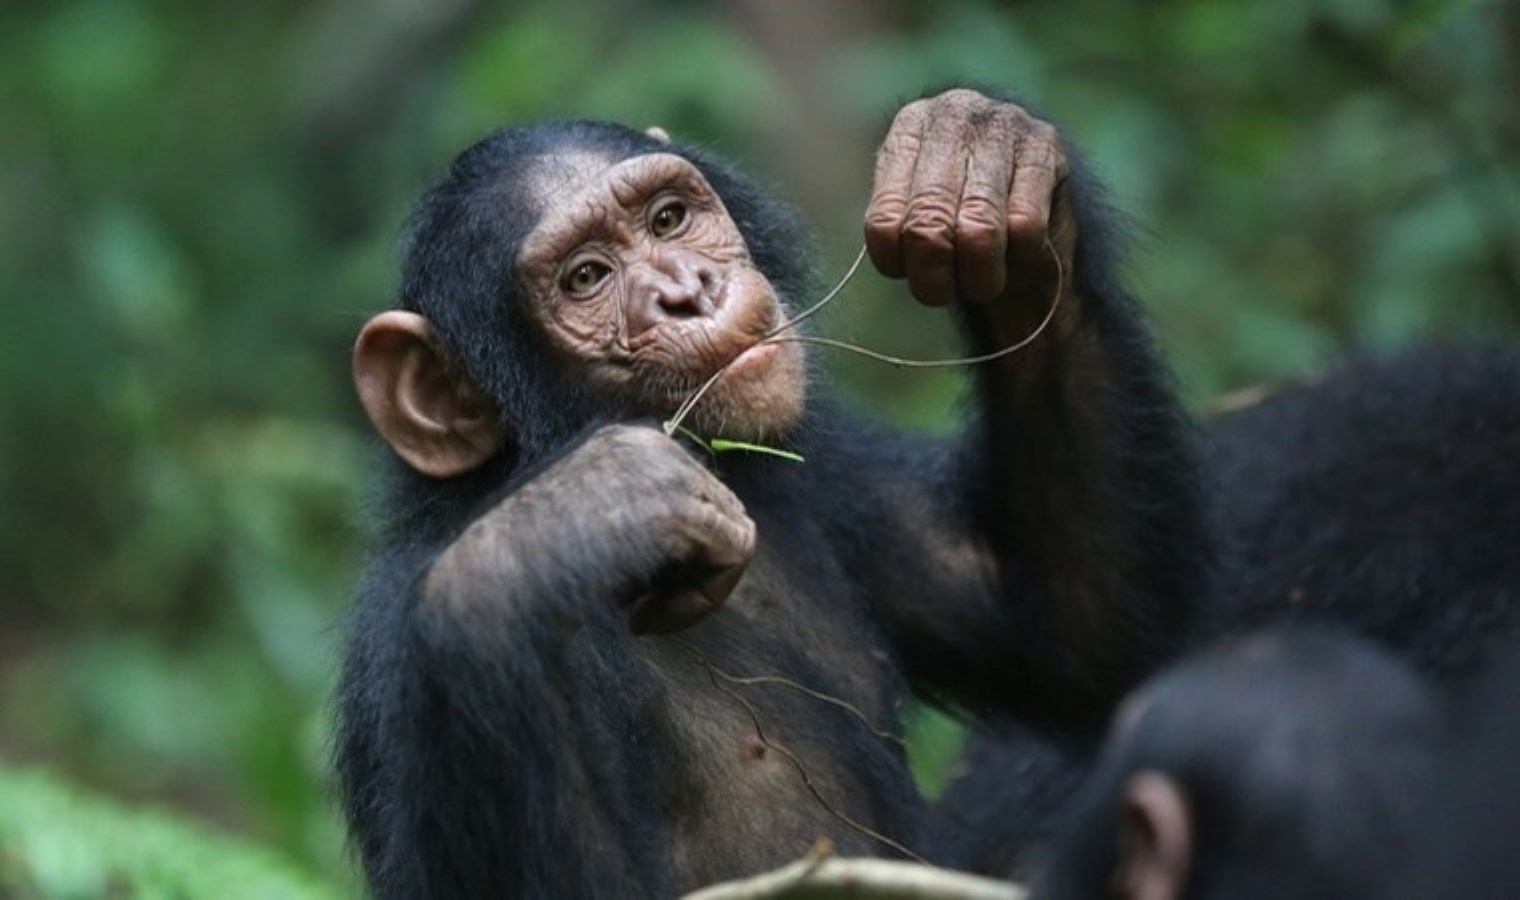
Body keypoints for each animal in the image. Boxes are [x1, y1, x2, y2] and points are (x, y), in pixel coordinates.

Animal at [335, 86, 1209, 900]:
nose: (688, 289)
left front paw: (978, 159)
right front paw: (565, 526)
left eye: (668, 219)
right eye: (585, 277)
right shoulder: (395, 649)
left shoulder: (828, 468)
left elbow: (1077, 640)